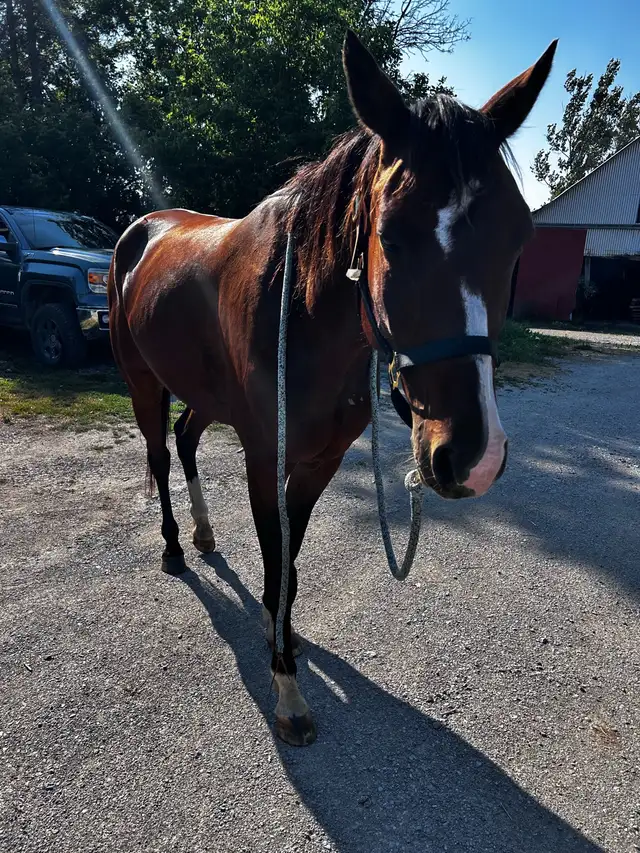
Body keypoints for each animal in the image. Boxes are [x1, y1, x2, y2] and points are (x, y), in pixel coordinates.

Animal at [108, 30, 557, 746]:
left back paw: (204, 536)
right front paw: (287, 688)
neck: (298, 310)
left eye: (519, 237)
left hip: (203, 395)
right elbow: (274, 555)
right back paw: (177, 549)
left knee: (184, 439)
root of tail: (138, 232)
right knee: (158, 451)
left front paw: (281, 633)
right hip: (142, 382)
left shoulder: (318, 463)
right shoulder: (265, 461)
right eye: (390, 236)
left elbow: (288, 566)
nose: (475, 457)